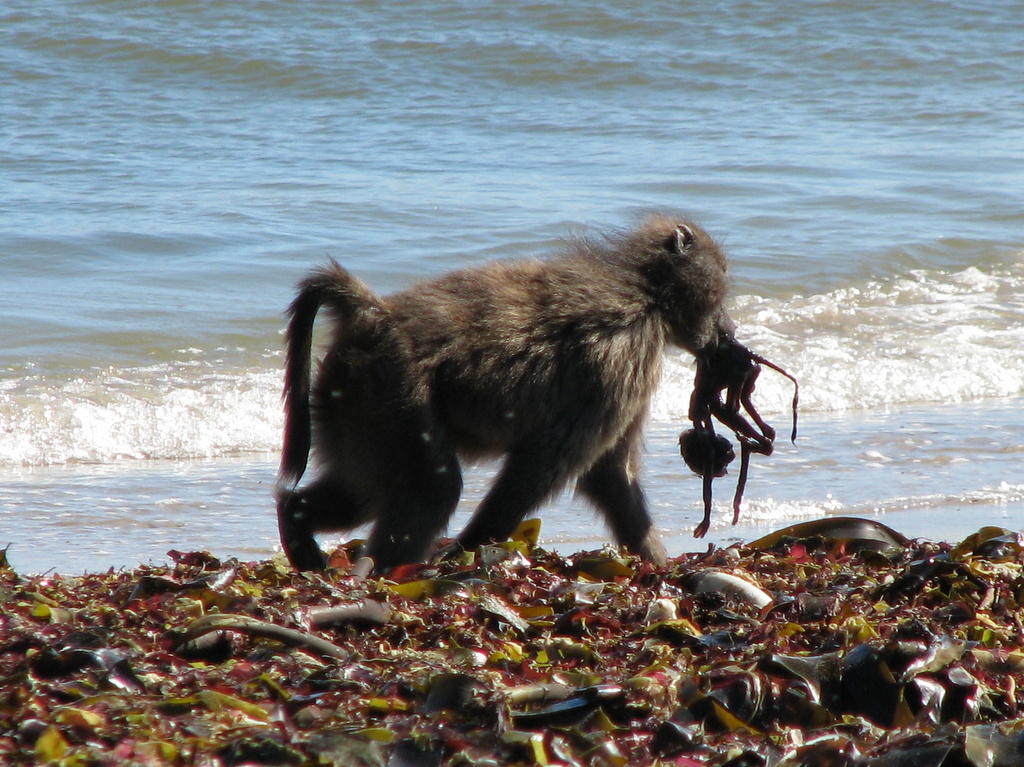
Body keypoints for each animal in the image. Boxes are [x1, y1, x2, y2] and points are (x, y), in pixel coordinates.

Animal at [276, 214, 734, 571]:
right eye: (722, 282)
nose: (727, 332)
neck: (645, 290)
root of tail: (373, 312)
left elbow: (610, 473)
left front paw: (658, 566)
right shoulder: (620, 357)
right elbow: (540, 467)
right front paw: (464, 551)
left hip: (349, 400)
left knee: (362, 489)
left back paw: (301, 532)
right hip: (389, 392)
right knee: (433, 488)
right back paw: (387, 574)